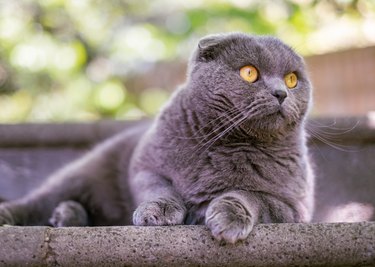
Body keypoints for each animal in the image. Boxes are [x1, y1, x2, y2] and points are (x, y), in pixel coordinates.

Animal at [0, 33, 314, 245]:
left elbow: (249, 195)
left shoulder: (293, 208)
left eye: (292, 79)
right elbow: (159, 188)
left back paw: (67, 215)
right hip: (82, 174)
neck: (228, 142)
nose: (281, 93)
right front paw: (159, 212)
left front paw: (228, 218)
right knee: (35, 202)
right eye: (249, 72)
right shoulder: (145, 167)